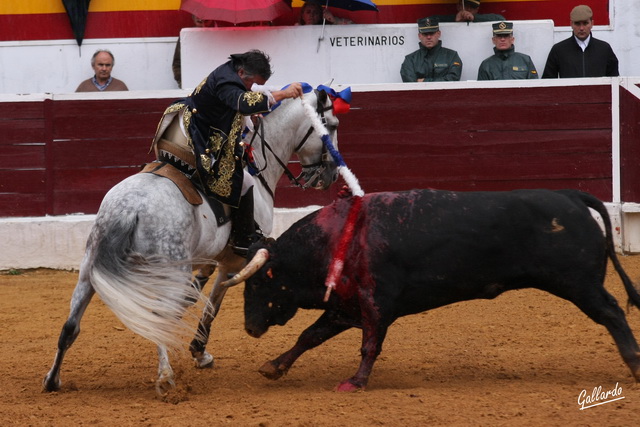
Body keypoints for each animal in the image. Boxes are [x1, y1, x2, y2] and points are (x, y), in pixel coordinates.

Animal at [224, 189, 640, 392]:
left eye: (258, 281)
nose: (249, 328)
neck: (337, 239)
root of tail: (570, 196)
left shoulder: (376, 305)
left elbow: (369, 346)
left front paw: (355, 382)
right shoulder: (346, 306)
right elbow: (310, 336)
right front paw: (274, 366)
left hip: (579, 283)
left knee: (612, 312)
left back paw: (635, 364)